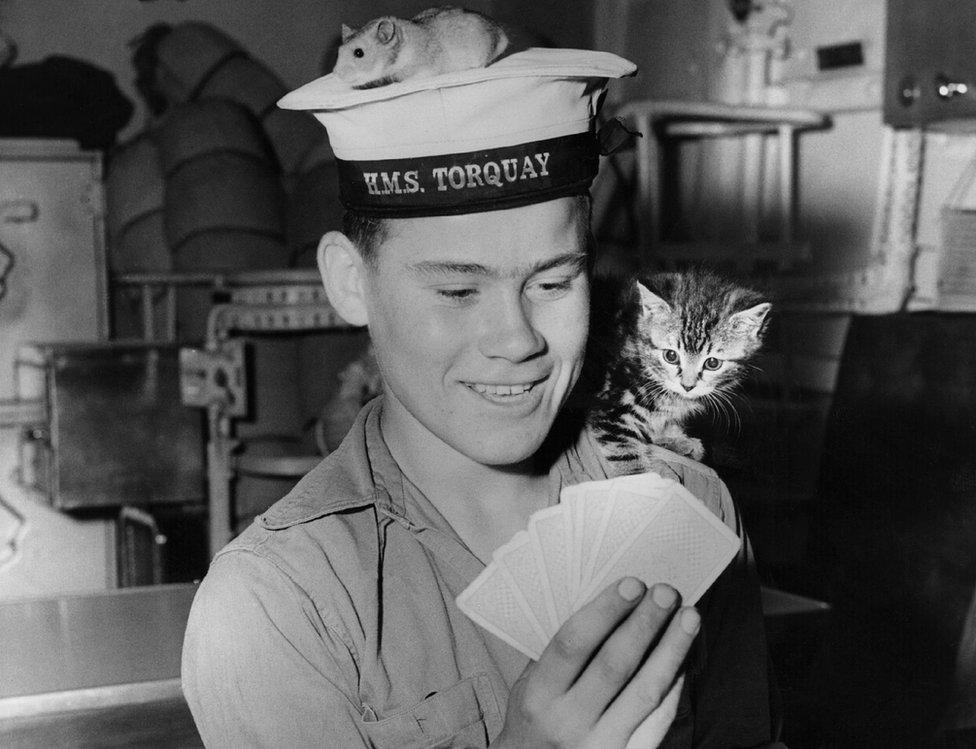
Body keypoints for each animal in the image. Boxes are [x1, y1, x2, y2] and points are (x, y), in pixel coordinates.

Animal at [588, 268, 772, 468]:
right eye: (671, 356)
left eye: (712, 363)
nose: (687, 386)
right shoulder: (610, 408)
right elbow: (626, 454)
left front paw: (675, 439)